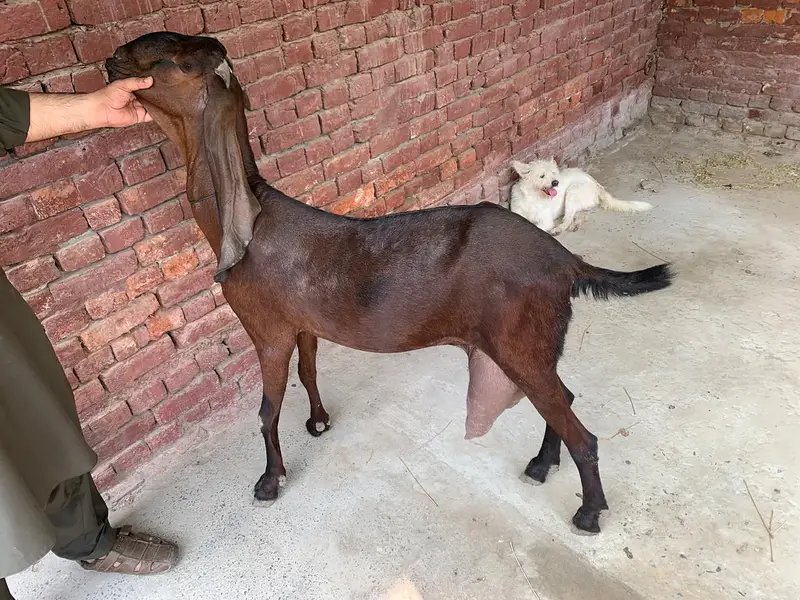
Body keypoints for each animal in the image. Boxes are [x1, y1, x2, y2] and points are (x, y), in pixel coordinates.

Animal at [106, 32, 673, 535]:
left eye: (180, 61)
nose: (113, 58)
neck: (253, 217)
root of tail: (564, 260)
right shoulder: (302, 323)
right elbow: (309, 371)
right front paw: (318, 422)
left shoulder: (266, 329)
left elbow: (267, 410)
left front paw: (269, 481)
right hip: (533, 344)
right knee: (562, 398)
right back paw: (540, 465)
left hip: (520, 342)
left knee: (580, 430)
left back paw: (588, 513)